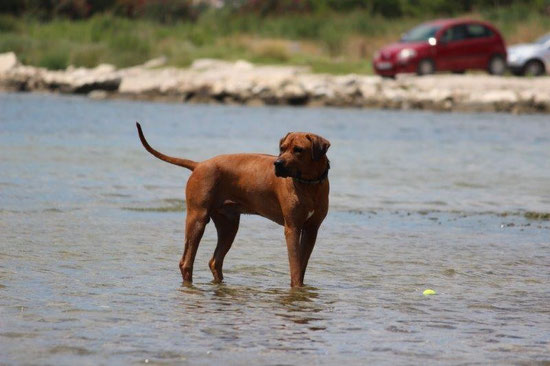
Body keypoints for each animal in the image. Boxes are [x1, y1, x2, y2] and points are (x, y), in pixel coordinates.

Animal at [137, 123, 332, 288]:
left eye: (298, 150)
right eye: (282, 148)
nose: (277, 164)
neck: (310, 184)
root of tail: (199, 165)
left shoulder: (311, 230)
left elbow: (302, 264)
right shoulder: (292, 227)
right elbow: (296, 266)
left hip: (228, 225)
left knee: (215, 261)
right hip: (197, 218)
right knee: (186, 262)